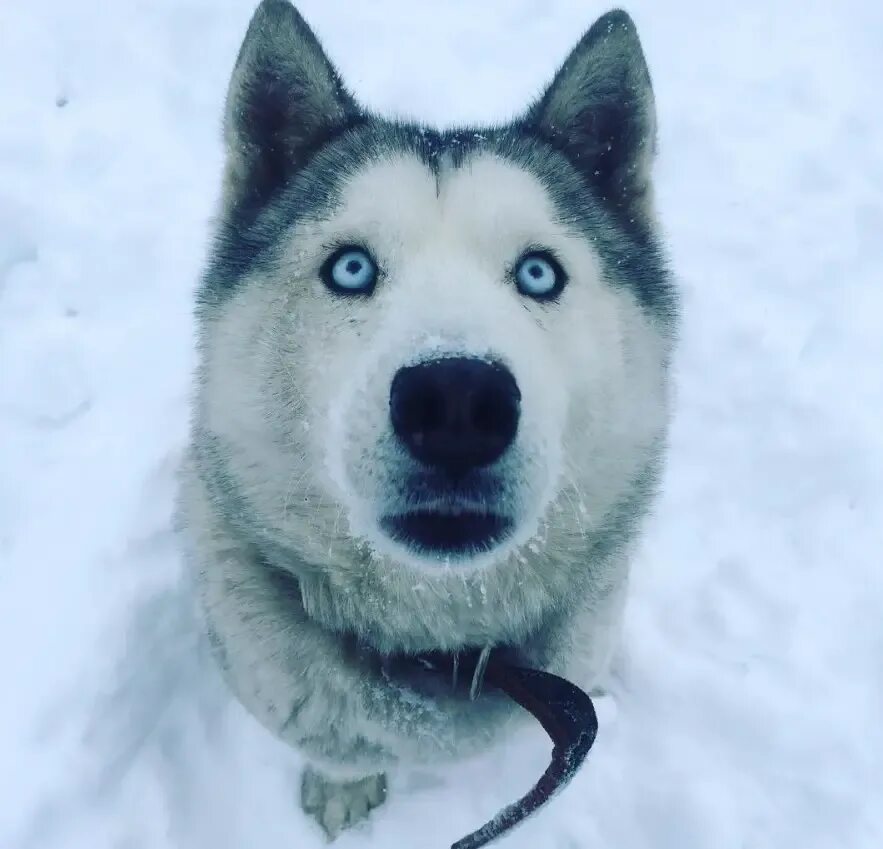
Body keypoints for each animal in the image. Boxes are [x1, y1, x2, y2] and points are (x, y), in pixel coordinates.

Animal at [180, 0, 676, 836]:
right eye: (349, 267)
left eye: (538, 272)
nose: (456, 403)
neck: (441, 638)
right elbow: (339, 751)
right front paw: (344, 785)